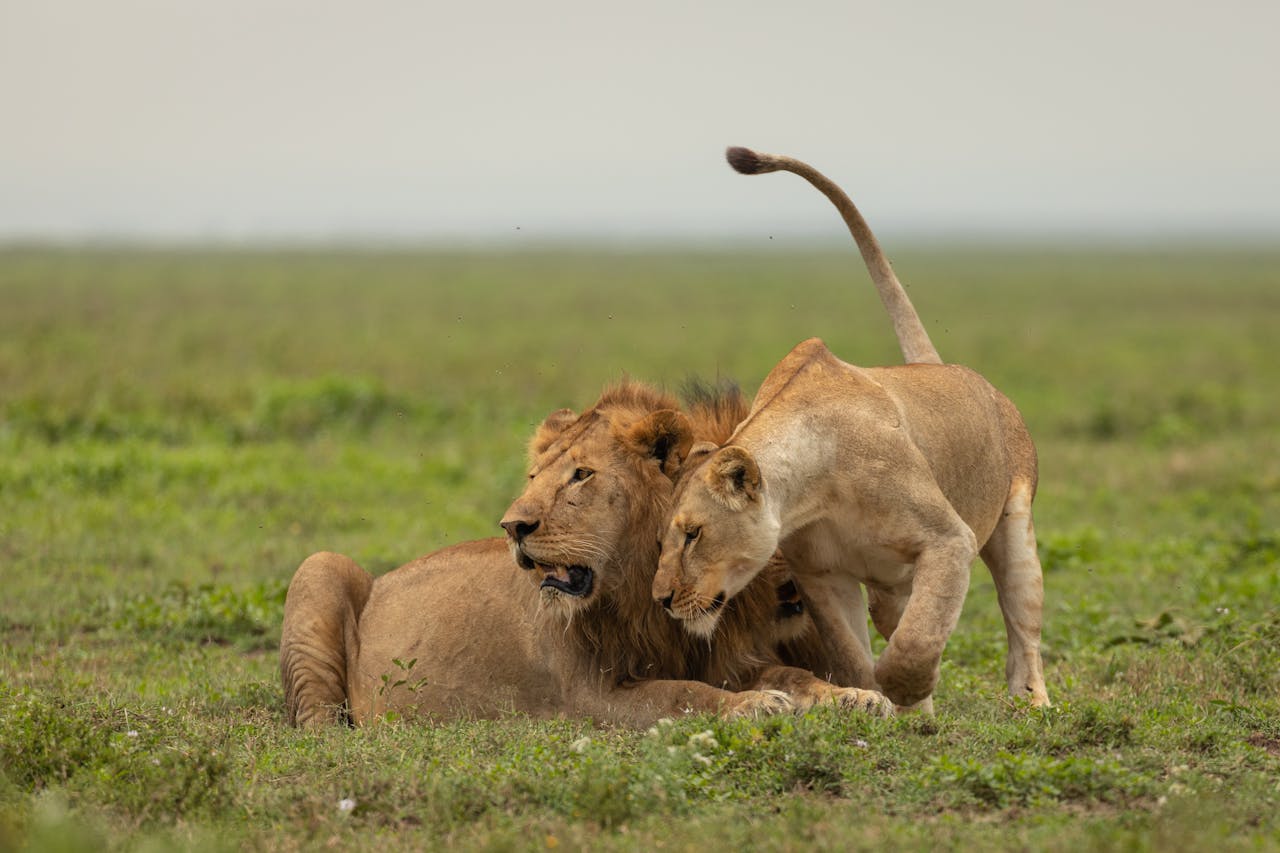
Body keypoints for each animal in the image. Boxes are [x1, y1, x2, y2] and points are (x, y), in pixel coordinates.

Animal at [281, 380, 891, 730]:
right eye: (534, 477)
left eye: (581, 475)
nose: (512, 526)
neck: (644, 590)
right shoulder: (587, 696)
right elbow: (680, 694)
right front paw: (752, 706)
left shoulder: (727, 657)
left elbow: (793, 674)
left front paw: (854, 697)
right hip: (319, 567)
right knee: (315, 718)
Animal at [651, 146, 1051, 711]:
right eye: (661, 539)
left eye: (693, 534)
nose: (662, 599)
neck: (816, 489)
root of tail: (949, 370)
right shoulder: (821, 576)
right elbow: (851, 654)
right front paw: (872, 701)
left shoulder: (949, 540)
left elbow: (918, 639)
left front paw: (904, 689)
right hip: (888, 588)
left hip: (1013, 529)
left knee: (1022, 627)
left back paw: (1031, 703)